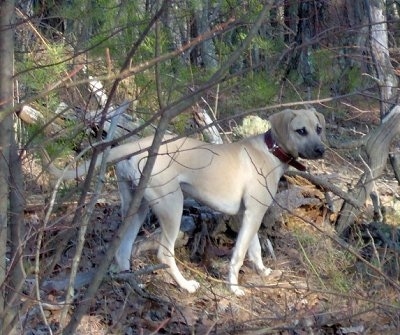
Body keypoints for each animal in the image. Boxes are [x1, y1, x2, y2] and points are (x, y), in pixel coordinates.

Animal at [46, 107, 324, 296]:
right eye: (301, 131)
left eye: (318, 129)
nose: (321, 150)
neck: (270, 150)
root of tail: (133, 147)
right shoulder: (254, 212)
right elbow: (239, 254)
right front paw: (234, 288)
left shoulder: (248, 214)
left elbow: (253, 249)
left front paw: (263, 272)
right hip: (172, 205)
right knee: (163, 252)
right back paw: (185, 285)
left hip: (137, 207)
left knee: (122, 251)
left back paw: (134, 284)